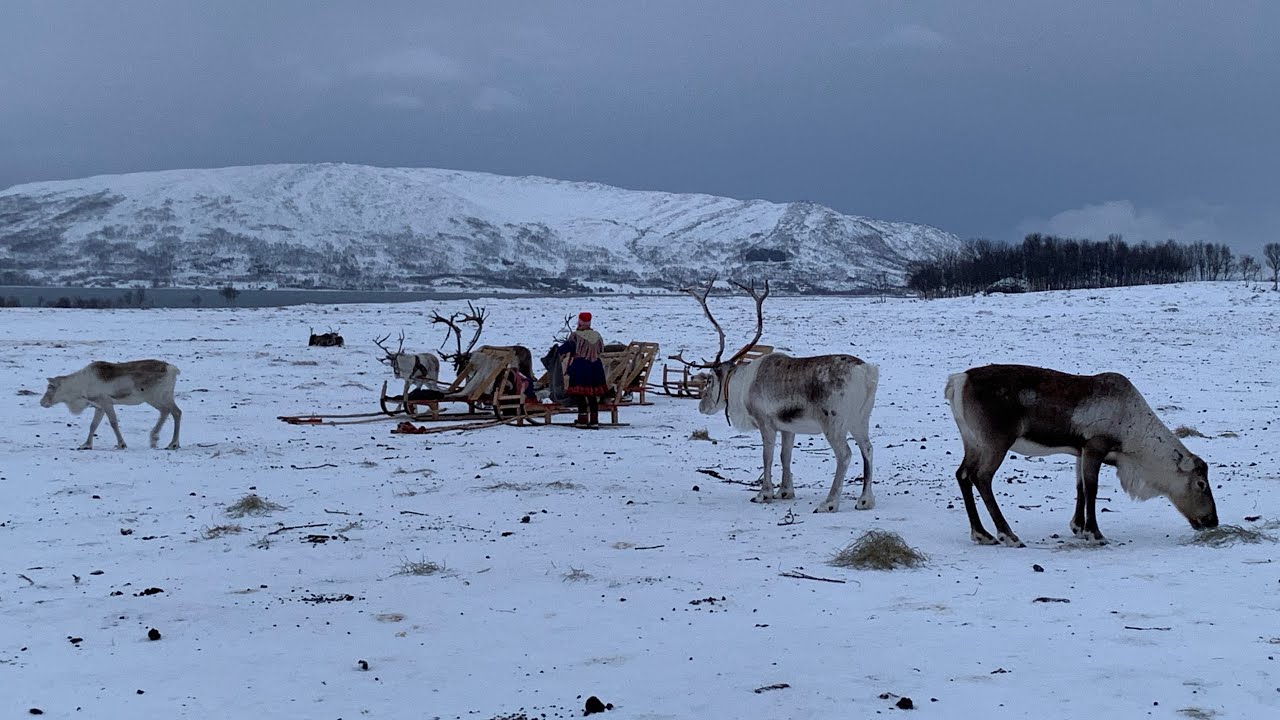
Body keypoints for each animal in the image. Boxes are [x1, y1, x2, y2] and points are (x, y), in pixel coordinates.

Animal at [40, 359, 182, 450]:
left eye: (50, 387)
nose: (41, 402)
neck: (78, 388)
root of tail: (173, 369)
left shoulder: (106, 401)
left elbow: (113, 423)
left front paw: (121, 444)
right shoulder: (99, 406)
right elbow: (93, 425)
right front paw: (86, 445)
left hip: (154, 397)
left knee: (172, 411)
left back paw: (172, 443)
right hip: (165, 396)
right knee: (172, 412)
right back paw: (157, 439)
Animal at [673, 277, 880, 513]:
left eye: (708, 379)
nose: (702, 406)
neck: (741, 386)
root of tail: (867, 372)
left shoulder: (765, 422)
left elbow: (768, 456)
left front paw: (764, 494)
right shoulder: (788, 428)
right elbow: (785, 456)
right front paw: (785, 492)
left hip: (834, 422)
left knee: (845, 454)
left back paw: (829, 503)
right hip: (860, 419)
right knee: (868, 449)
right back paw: (865, 500)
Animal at [944, 363, 1219, 547]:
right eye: (1201, 483)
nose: (1212, 521)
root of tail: (958, 381)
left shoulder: (1080, 450)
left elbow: (1080, 487)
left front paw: (1078, 526)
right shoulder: (1095, 445)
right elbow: (1092, 488)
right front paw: (1095, 534)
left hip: (972, 441)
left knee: (963, 474)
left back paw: (981, 533)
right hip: (995, 441)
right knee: (981, 477)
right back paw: (1007, 535)